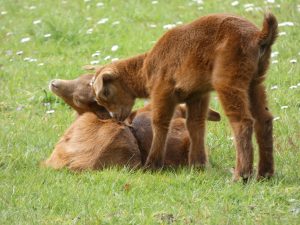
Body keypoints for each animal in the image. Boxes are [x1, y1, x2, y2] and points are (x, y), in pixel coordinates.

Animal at [92, 13, 278, 180]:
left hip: (229, 78)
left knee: (242, 122)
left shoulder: (163, 88)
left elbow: (160, 122)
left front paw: (152, 165)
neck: (144, 70)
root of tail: (258, 36)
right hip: (255, 81)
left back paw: (242, 175)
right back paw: (265, 174)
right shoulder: (197, 94)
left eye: (105, 93)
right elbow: (196, 124)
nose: (115, 118)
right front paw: (198, 165)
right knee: (264, 119)